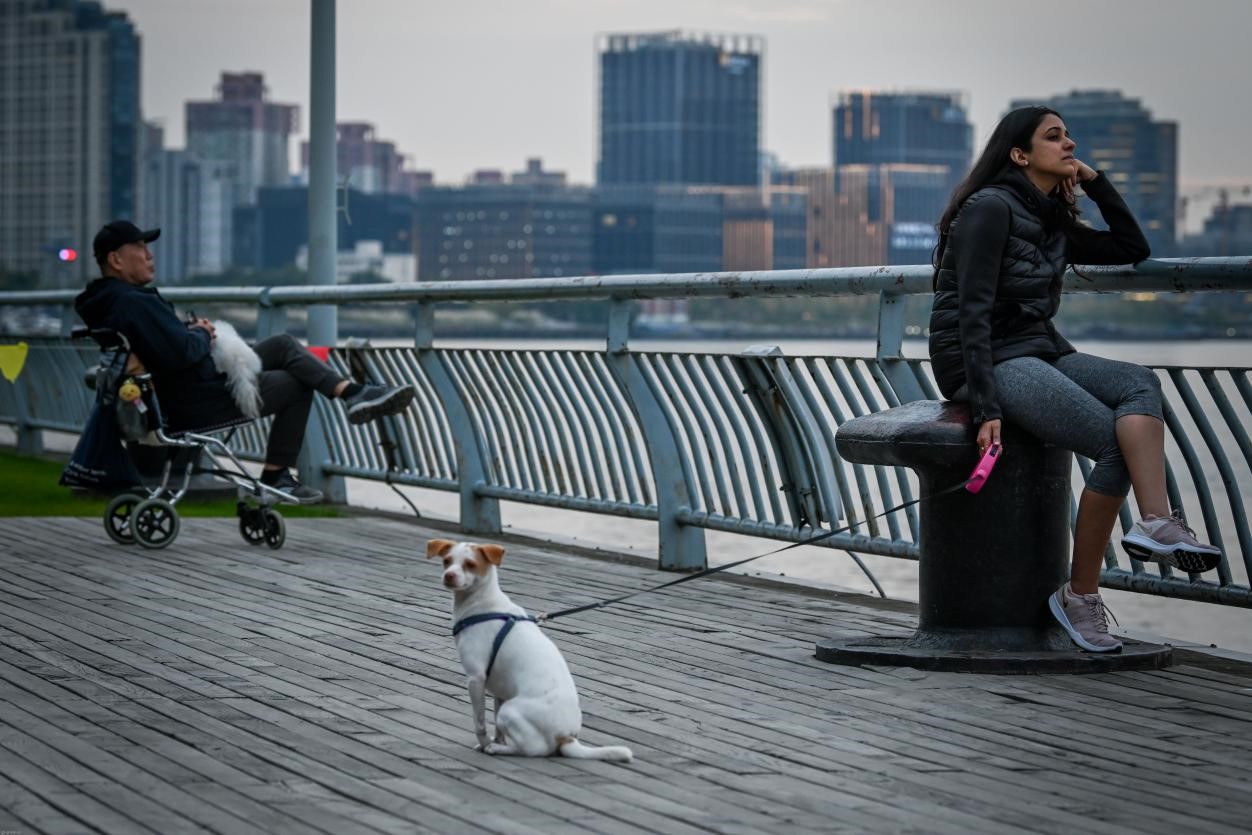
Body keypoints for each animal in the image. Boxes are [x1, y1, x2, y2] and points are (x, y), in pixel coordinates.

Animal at [425, 543, 631, 766]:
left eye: (470, 564)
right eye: (447, 561)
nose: (449, 576)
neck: (483, 606)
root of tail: (566, 737)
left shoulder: (475, 678)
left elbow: (479, 722)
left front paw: (486, 743)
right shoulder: (500, 688)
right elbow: (496, 725)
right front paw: (495, 740)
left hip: (510, 711)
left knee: (533, 749)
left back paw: (497, 749)